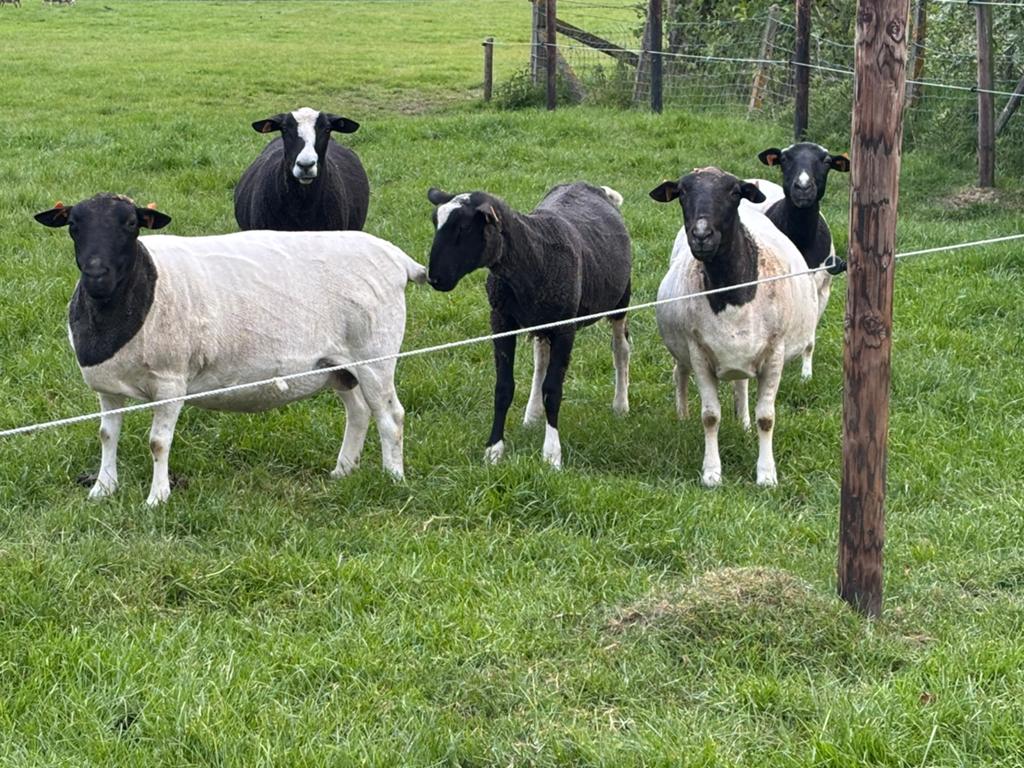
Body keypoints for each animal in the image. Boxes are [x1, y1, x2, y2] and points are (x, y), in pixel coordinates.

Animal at [34, 193, 425, 505]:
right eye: (73, 225)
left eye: (131, 224)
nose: (96, 273)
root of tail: (397, 257)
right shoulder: (108, 387)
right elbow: (106, 435)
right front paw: (102, 489)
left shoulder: (171, 382)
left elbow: (158, 442)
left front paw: (157, 498)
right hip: (337, 365)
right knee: (358, 411)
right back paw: (343, 470)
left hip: (375, 355)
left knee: (390, 416)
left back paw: (393, 478)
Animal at [425, 182, 632, 468]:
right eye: (435, 222)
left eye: (464, 228)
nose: (434, 278)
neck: (534, 257)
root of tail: (588, 185)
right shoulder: (500, 320)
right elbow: (503, 387)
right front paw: (494, 450)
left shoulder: (565, 328)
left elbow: (553, 390)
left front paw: (552, 455)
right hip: (541, 323)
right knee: (540, 362)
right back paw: (532, 415)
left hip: (621, 300)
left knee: (620, 349)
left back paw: (620, 405)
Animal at [650, 167, 818, 487]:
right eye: (682, 192)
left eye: (733, 192)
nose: (701, 235)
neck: (732, 292)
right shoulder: (699, 352)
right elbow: (710, 417)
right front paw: (712, 473)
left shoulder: (775, 352)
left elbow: (767, 417)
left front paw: (766, 475)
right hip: (683, 348)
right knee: (680, 373)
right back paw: (682, 417)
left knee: (741, 384)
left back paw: (743, 424)